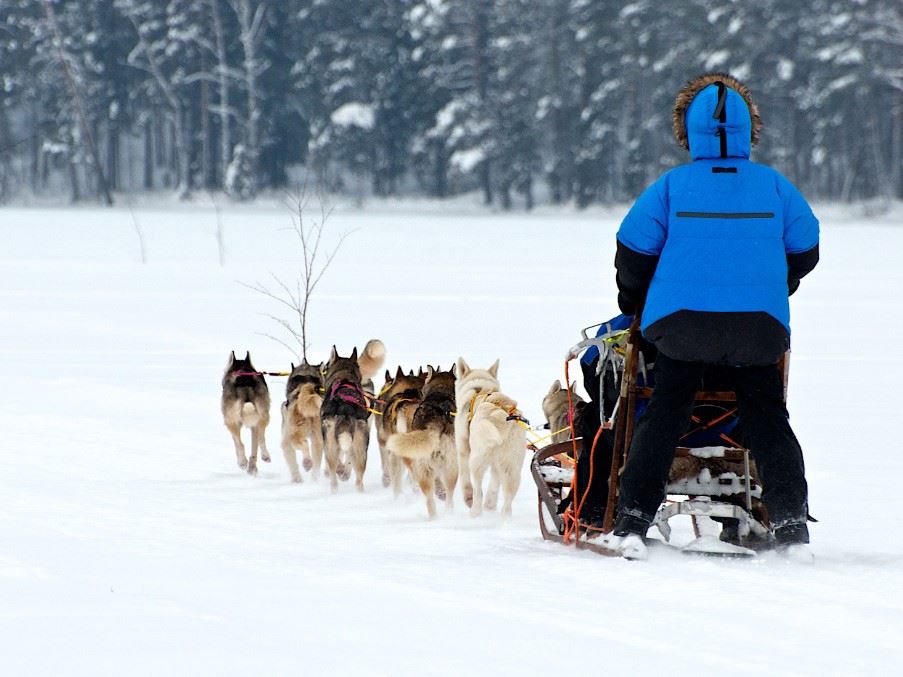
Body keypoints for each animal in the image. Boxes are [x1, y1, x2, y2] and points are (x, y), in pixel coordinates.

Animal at [322, 346, 370, 488]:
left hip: (330, 444)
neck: (344, 375)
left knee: (333, 477)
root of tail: (346, 407)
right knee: (359, 480)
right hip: (361, 448)